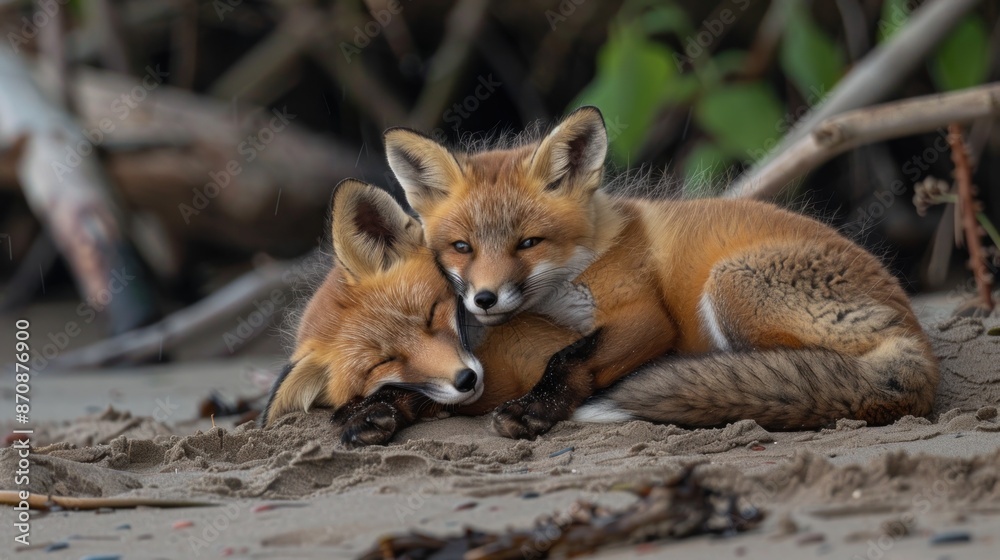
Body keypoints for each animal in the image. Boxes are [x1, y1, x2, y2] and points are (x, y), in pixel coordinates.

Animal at [382, 105, 940, 440]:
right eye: (461, 247)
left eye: (528, 243)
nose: (485, 299)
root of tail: (915, 341)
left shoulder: (647, 316)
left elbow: (569, 357)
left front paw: (535, 408)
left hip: (729, 282)